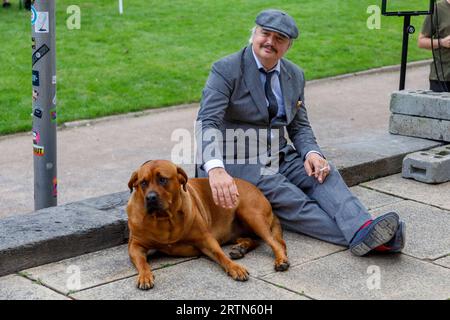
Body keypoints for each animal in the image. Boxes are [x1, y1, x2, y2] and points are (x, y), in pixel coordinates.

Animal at [125, 160, 290, 290]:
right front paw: (145, 276)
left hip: (251, 215)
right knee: (254, 240)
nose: (150, 198)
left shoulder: (206, 240)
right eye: (143, 183)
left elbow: (220, 255)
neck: (164, 218)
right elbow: (142, 263)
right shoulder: (135, 245)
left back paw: (280, 260)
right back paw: (241, 248)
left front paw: (234, 268)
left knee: (275, 242)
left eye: (163, 180)